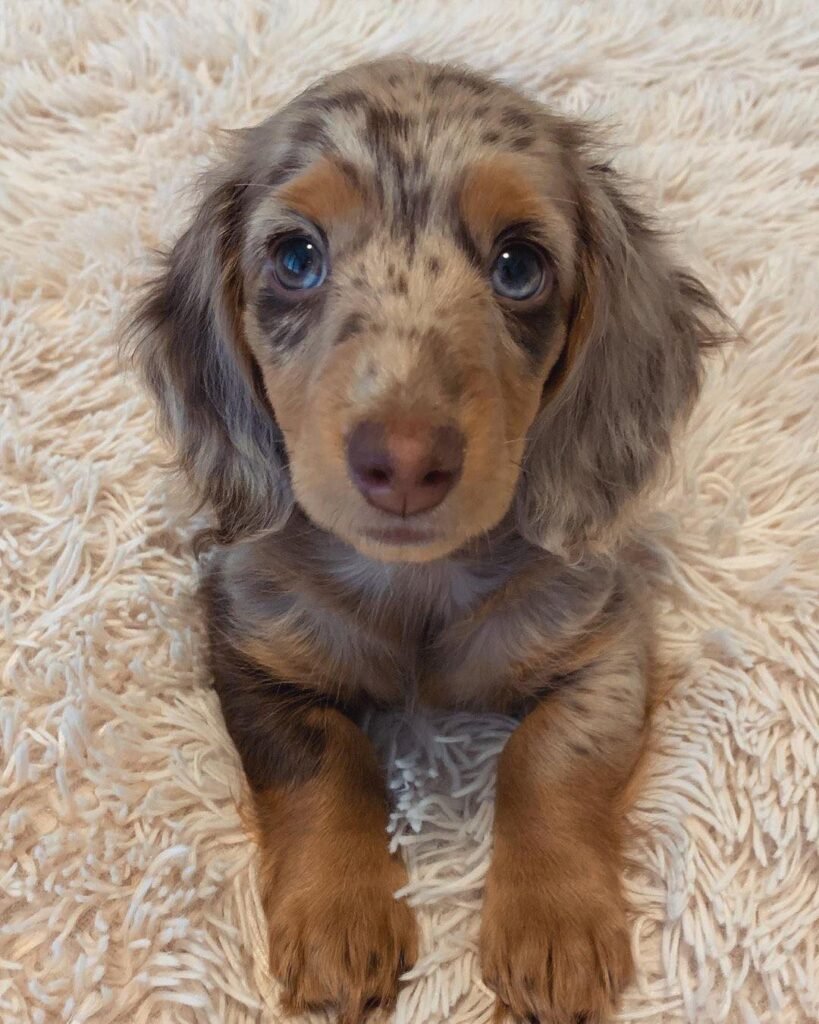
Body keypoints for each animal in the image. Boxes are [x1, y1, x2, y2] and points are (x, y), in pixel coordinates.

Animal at [126, 58, 724, 1024]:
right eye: (295, 258)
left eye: (519, 265)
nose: (404, 461)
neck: (416, 586)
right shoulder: (248, 647)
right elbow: (326, 761)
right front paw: (337, 918)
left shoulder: (607, 639)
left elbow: (548, 756)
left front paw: (553, 928)